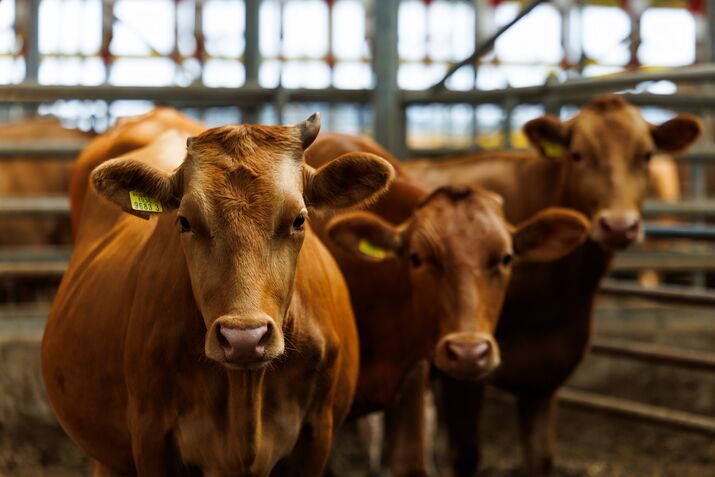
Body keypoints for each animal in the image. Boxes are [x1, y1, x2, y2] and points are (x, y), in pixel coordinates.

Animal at [404, 95, 702, 476]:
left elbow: (541, 457)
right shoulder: (460, 369)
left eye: (647, 155)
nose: (618, 225)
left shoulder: (546, 374)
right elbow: (466, 455)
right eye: (577, 154)